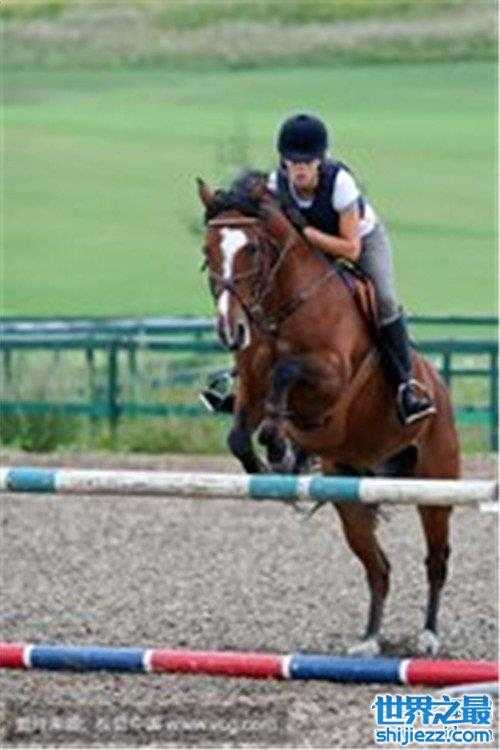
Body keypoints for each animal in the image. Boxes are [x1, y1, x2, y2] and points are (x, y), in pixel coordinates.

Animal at [197, 170, 460, 657]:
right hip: (349, 493)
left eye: (253, 249)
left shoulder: (331, 379)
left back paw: (428, 636)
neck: (282, 308)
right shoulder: (251, 386)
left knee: (436, 559)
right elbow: (240, 435)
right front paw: (274, 465)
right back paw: (369, 640)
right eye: (208, 252)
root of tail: (439, 387)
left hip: (435, 483)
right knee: (378, 567)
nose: (230, 331)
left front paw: (279, 448)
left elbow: (286, 374)